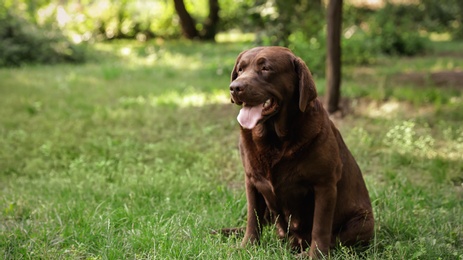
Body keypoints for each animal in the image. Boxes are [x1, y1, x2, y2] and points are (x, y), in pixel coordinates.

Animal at [229, 46, 376, 258]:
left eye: (266, 68)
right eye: (240, 69)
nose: (234, 87)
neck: (274, 139)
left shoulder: (325, 184)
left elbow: (320, 227)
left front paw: (316, 256)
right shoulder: (251, 180)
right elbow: (252, 218)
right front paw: (246, 247)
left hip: (362, 221)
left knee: (335, 239)